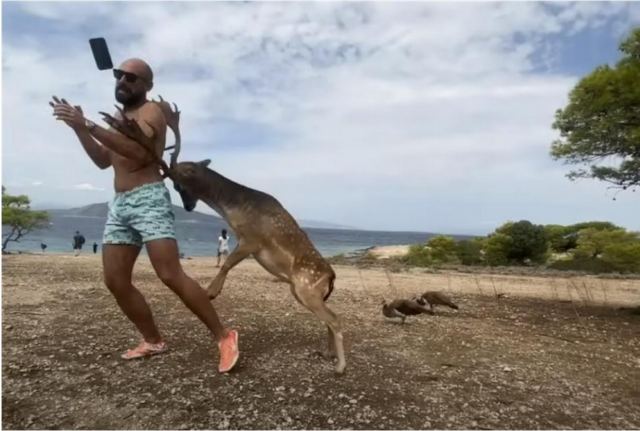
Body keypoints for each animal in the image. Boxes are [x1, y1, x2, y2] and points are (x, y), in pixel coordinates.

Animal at [100, 98, 348, 374]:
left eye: (179, 182)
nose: (188, 207)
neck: (235, 211)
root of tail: (331, 276)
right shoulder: (245, 239)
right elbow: (228, 262)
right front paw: (211, 290)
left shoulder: (252, 238)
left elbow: (227, 262)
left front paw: (210, 291)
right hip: (301, 290)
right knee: (329, 318)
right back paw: (327, 354)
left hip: (307, 286)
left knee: (335, 319)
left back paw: (340, 366)